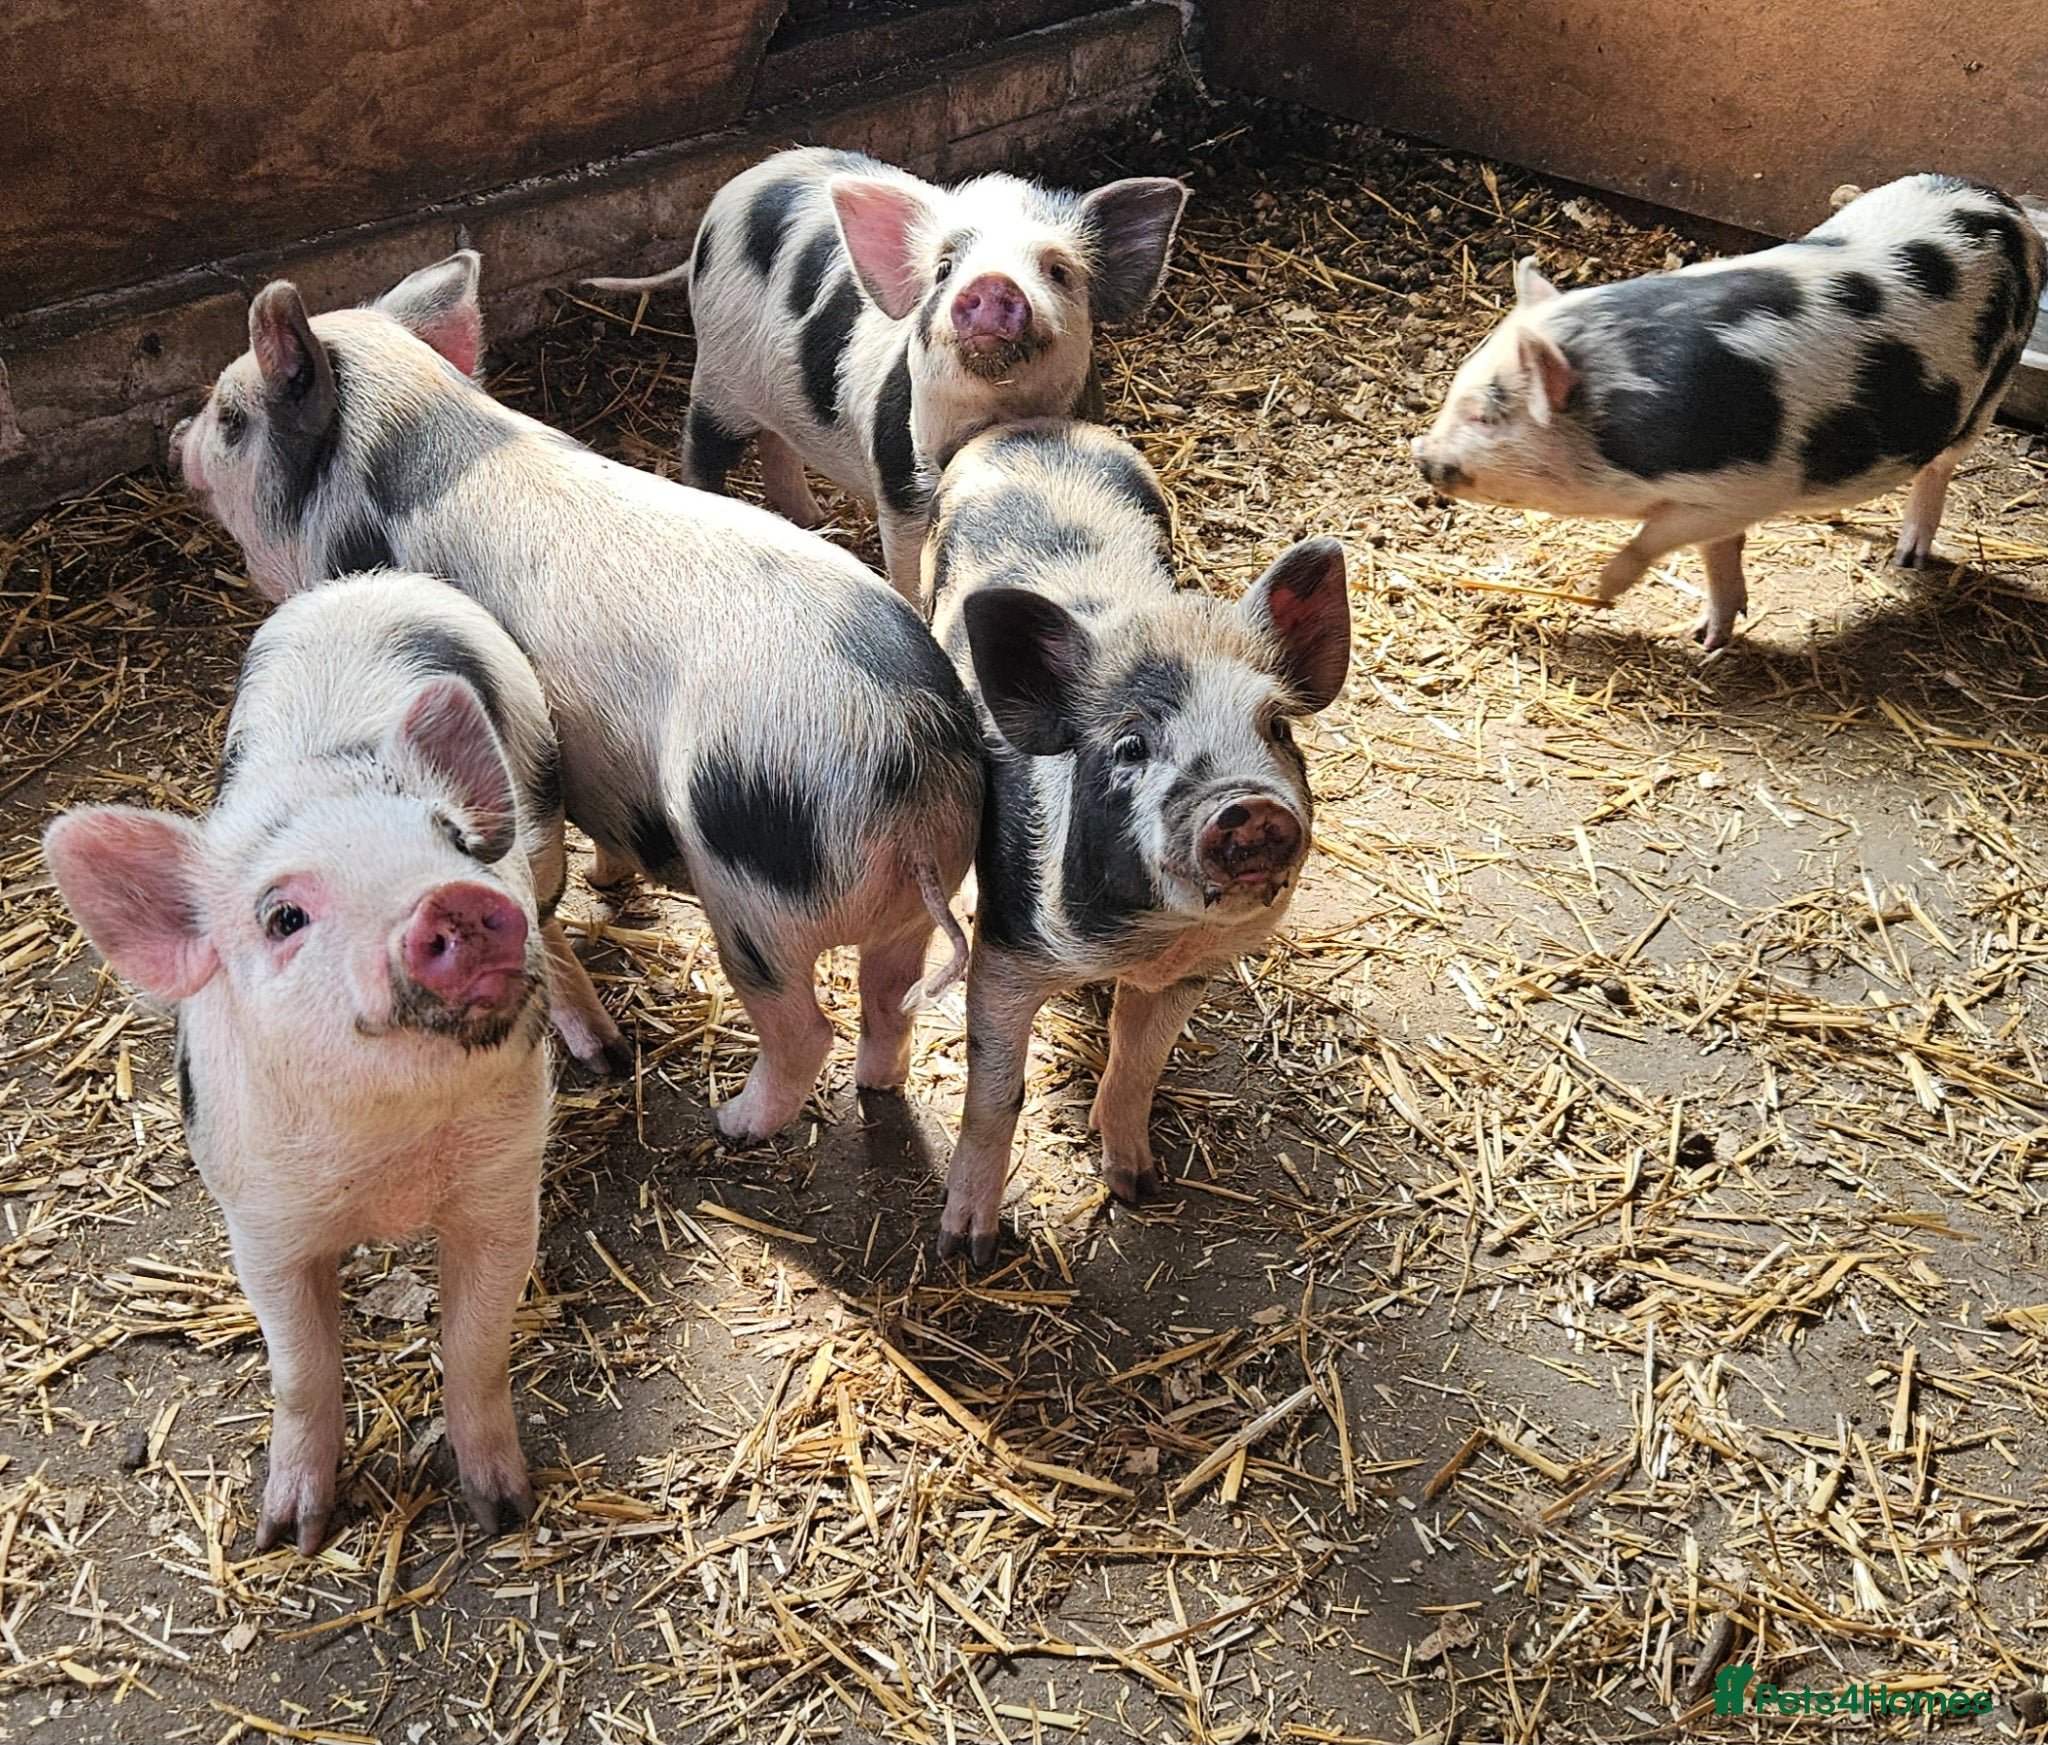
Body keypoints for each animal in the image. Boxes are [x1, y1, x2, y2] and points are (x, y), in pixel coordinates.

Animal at [44, 571, 570, 1551]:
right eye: (283, 915)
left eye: (449, 838)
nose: (457, 897)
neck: (389, 1157)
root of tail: (365, 583)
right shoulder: (258, 1217)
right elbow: (300, 1368)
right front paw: (288, 1533)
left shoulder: (503, 1186)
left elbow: (477, 1345)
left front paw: (504, 1511)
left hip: (545, 801)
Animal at [172, 251, 983, 1143]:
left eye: (232, 417)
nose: (176, 439)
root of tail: (911, 767)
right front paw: (607, 881)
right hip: (915, 904)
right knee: (889, 1000)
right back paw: (875, 1084)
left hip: (751, 904)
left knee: (806, 1026)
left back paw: (732, 1120)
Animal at [586, 147, 1188, 599]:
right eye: (944, 269)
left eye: (1058, 270)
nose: (993, 282)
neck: (994, 414)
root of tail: (742, 183)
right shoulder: (901, 479)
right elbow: (906, 567)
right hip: (718, 371)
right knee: (702, 446)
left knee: (778, 444)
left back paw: (812, 520)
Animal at [922, 421, 1351, 1263]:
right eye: (1130, 746)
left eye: (1278, 728)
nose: (1248, 804)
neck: (1151, 938)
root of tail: (1033, 429)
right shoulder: (1008, 950)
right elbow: (996, 1092)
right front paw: (967, 1249)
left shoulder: (1191, 973)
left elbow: (1139, 1061)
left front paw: (1139, 1187)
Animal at [1412, 174, 2047, 650]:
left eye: (1487, 415)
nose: (1420, 452)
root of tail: (2000, 200)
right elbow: (1716, 551)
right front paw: (1706, 637)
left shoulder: (1751, 487)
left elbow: (1657, 539)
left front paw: (1601, 591)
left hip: (1992, 382)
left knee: (1940, 465)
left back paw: (1908, 558)